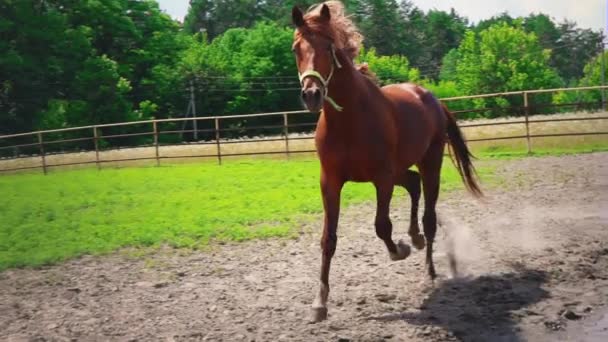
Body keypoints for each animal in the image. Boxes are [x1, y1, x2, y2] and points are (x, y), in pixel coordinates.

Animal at [292, 1, 482, 322]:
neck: (349, 119)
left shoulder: (381, 178)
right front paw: (319, 304)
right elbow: (328, 239)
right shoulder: (330, 182)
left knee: (429, 216)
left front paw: (400, 250)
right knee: (414, 185)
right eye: (296, 48)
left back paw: (428, 269)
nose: (312, 95)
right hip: (400, 171)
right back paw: (415, 238)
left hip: (429, 165)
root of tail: (431, 98)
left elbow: (382, 225)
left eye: (329, 47)